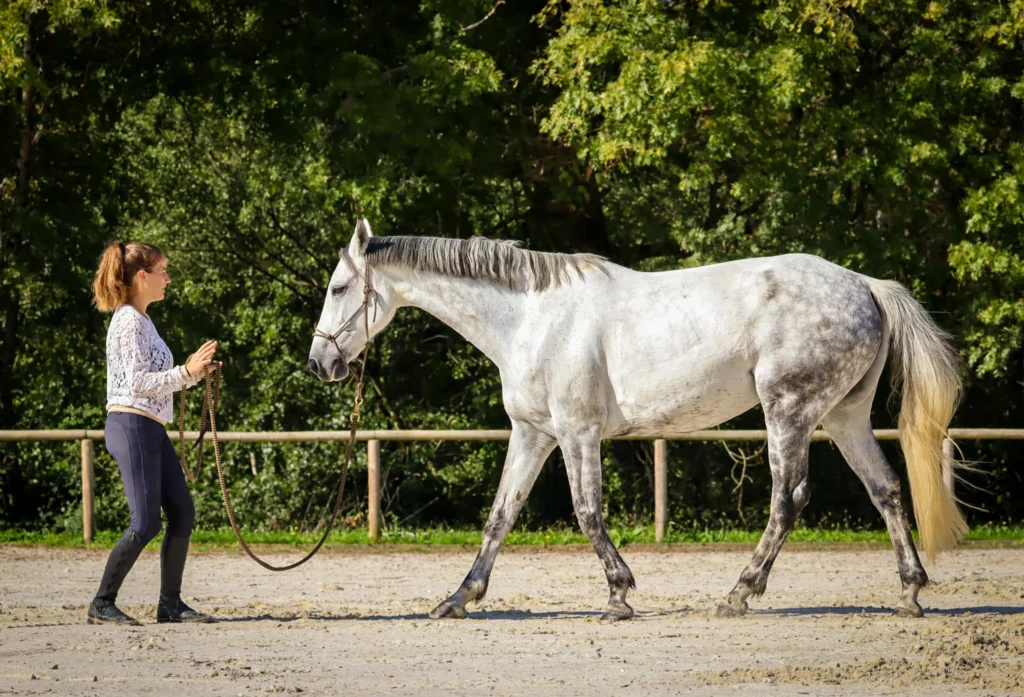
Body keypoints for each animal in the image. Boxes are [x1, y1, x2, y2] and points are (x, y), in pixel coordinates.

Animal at [308, 219, 966, 620]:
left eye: (339, 288)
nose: (321, 362)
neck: (529, 319)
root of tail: (866, 285)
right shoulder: (533, 434)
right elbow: (500, 515)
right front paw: (459, 598)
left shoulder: (577, 433)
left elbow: (587, 511)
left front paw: (618, 595)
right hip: (844, 416)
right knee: (885, 488)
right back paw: (909, 591)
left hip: (790, 412)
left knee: (788, 498)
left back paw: (739, 593)